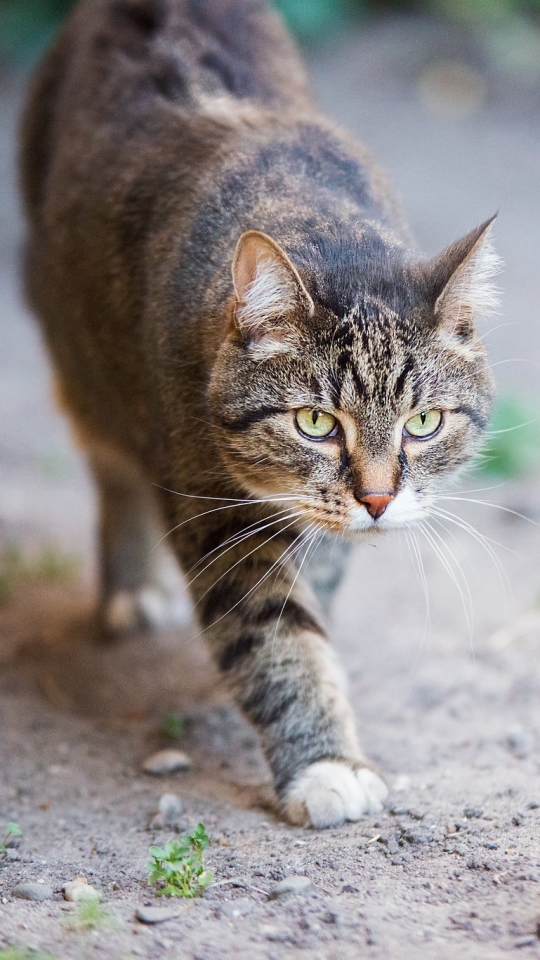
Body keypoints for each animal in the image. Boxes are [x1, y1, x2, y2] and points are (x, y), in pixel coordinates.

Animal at [20, 0, 498, 824]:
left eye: (424, 424)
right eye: (316, 423)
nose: (377, 499)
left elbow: (315, 583)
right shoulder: (213, 508)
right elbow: (275, 633)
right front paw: (326, 762)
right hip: (76, 350)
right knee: (111, 464)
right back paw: (132, 588)